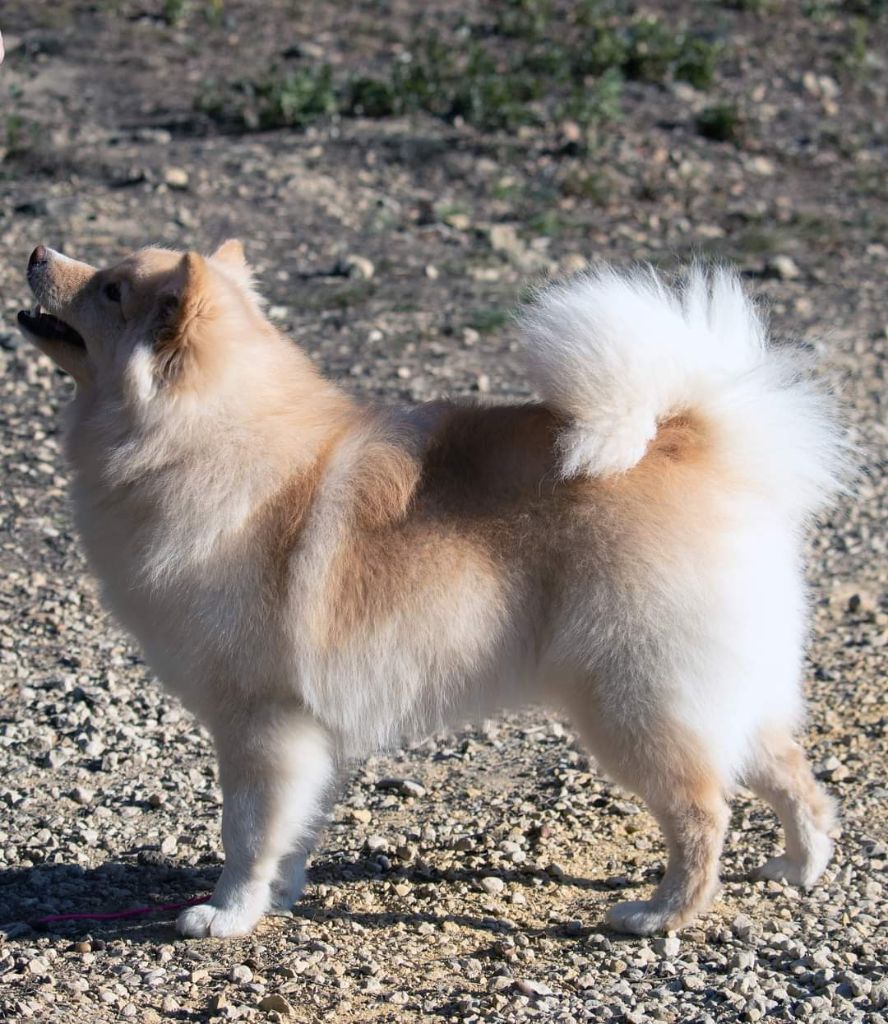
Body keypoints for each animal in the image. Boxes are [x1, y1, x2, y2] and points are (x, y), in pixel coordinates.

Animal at [15, 239, 848, 937]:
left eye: (110, 289)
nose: (36, 252)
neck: (205, 443)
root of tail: (690, 440)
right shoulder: (301, 731)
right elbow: (290, 829)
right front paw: (278, 897)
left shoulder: (258, 721)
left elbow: (247, 833)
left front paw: (226, 914)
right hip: (718, 691)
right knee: (792, 775)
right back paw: (799, 866)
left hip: (631, 700)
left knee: (704, 812)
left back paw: (659, 913)